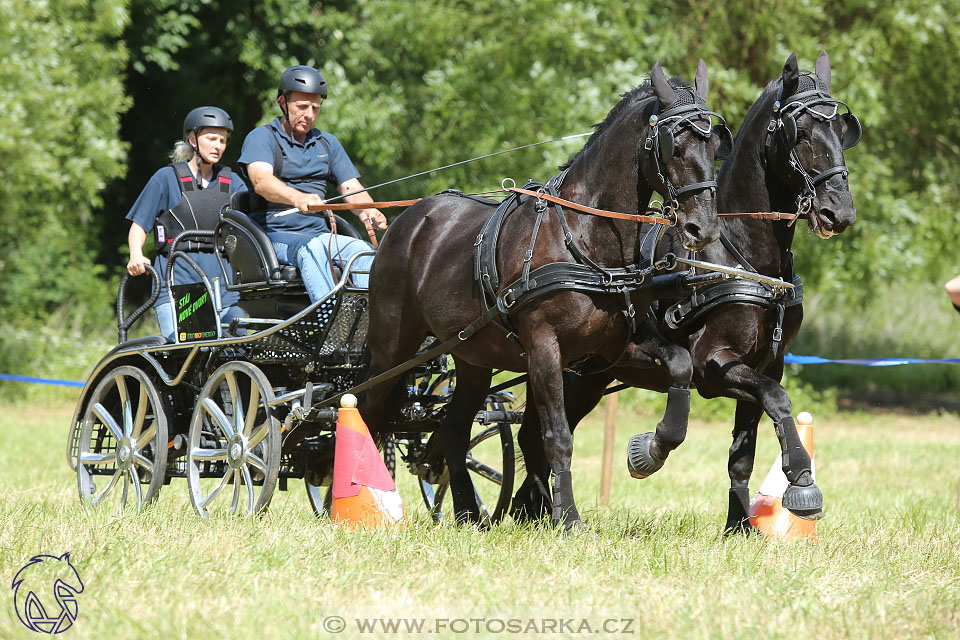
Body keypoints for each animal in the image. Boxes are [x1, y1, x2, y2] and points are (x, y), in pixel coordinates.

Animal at [362, 60, 728, 528]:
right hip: (393, 349)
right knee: (365, 410)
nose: (704, 228)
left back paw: (467, 513)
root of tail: (407, 221)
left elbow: (680, 365)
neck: (584, 238)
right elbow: (556, 436)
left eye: (714, 144)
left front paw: (652, 449)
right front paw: (568, 517)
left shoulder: (615, 349)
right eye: (673, 146)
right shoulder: (544, 348)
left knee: (453, 430)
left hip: (472, 357)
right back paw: (350, 496)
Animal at [512, 50, 860, 528]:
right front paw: (802, 481)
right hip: (561, 366)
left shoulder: (768, 364)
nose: (839, 212)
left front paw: (740, 526)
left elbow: (746, 449)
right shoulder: (713, 364)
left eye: (842, 131)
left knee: (534, 438)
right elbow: (778, 400)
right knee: (536, 437)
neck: (740, 253)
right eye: (801, 132)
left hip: (588, 376)